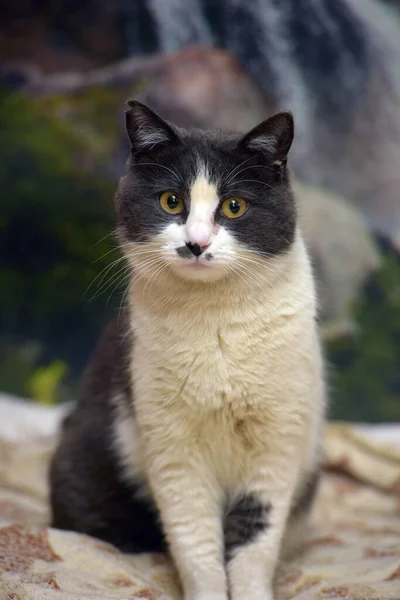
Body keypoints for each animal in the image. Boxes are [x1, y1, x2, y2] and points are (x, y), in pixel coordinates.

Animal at [49, 101, 324, 600]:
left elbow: (254, 543)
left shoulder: (276, 444)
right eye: (170, 202)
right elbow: (195, 542)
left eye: (234, 206)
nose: (196, 243)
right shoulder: (173, 447)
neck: (215, 322)